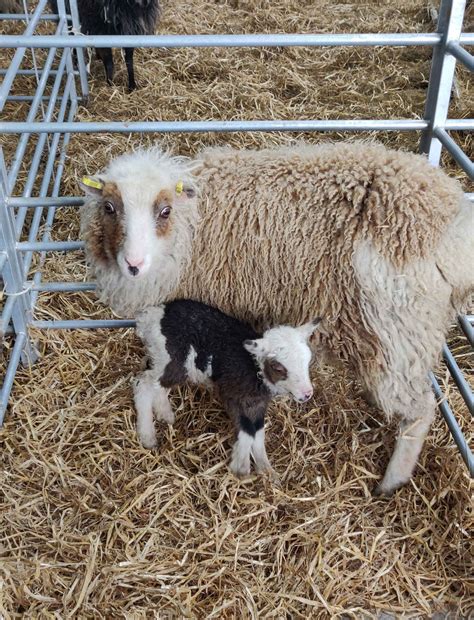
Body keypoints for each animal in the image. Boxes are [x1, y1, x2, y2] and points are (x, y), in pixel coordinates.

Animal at [133, 300, 320, 480]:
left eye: (308, 360)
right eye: (278, 367)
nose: (307, 394)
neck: (253, 367)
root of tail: (152, 316)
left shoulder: (258, 403)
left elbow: (258, 432)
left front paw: (267, 470)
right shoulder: (232, 393)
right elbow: (247, 429)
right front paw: (241, 467)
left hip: (167, 362)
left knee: (159, 387)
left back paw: (165, 415)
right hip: (173, 360)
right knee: (143, 386)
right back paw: (148, 436)